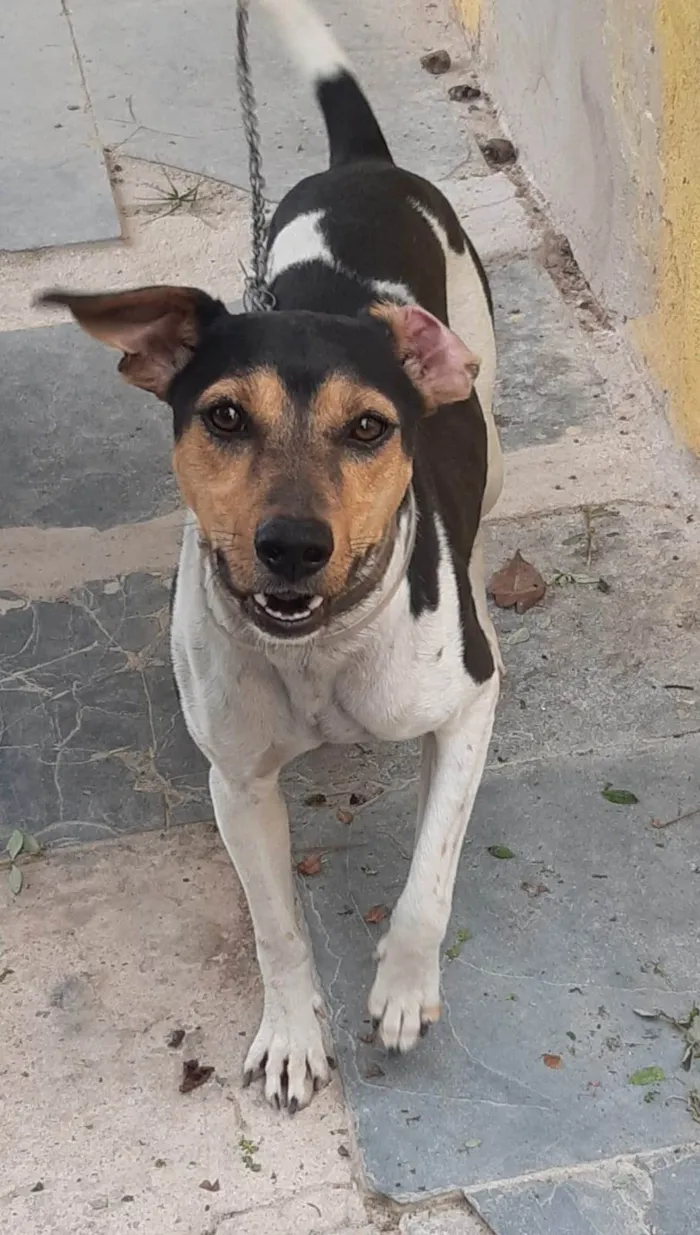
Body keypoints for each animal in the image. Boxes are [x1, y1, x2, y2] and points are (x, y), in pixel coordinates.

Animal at [41, 0, 503, 1116]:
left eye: (371, 427)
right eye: (222, 415)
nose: (291, 545)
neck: (321, 649)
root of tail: (361, 164)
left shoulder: (469, 704)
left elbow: (429, 877)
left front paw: (402, 988)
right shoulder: (238, 782)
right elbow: (275, 928)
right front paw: (294, 1034)